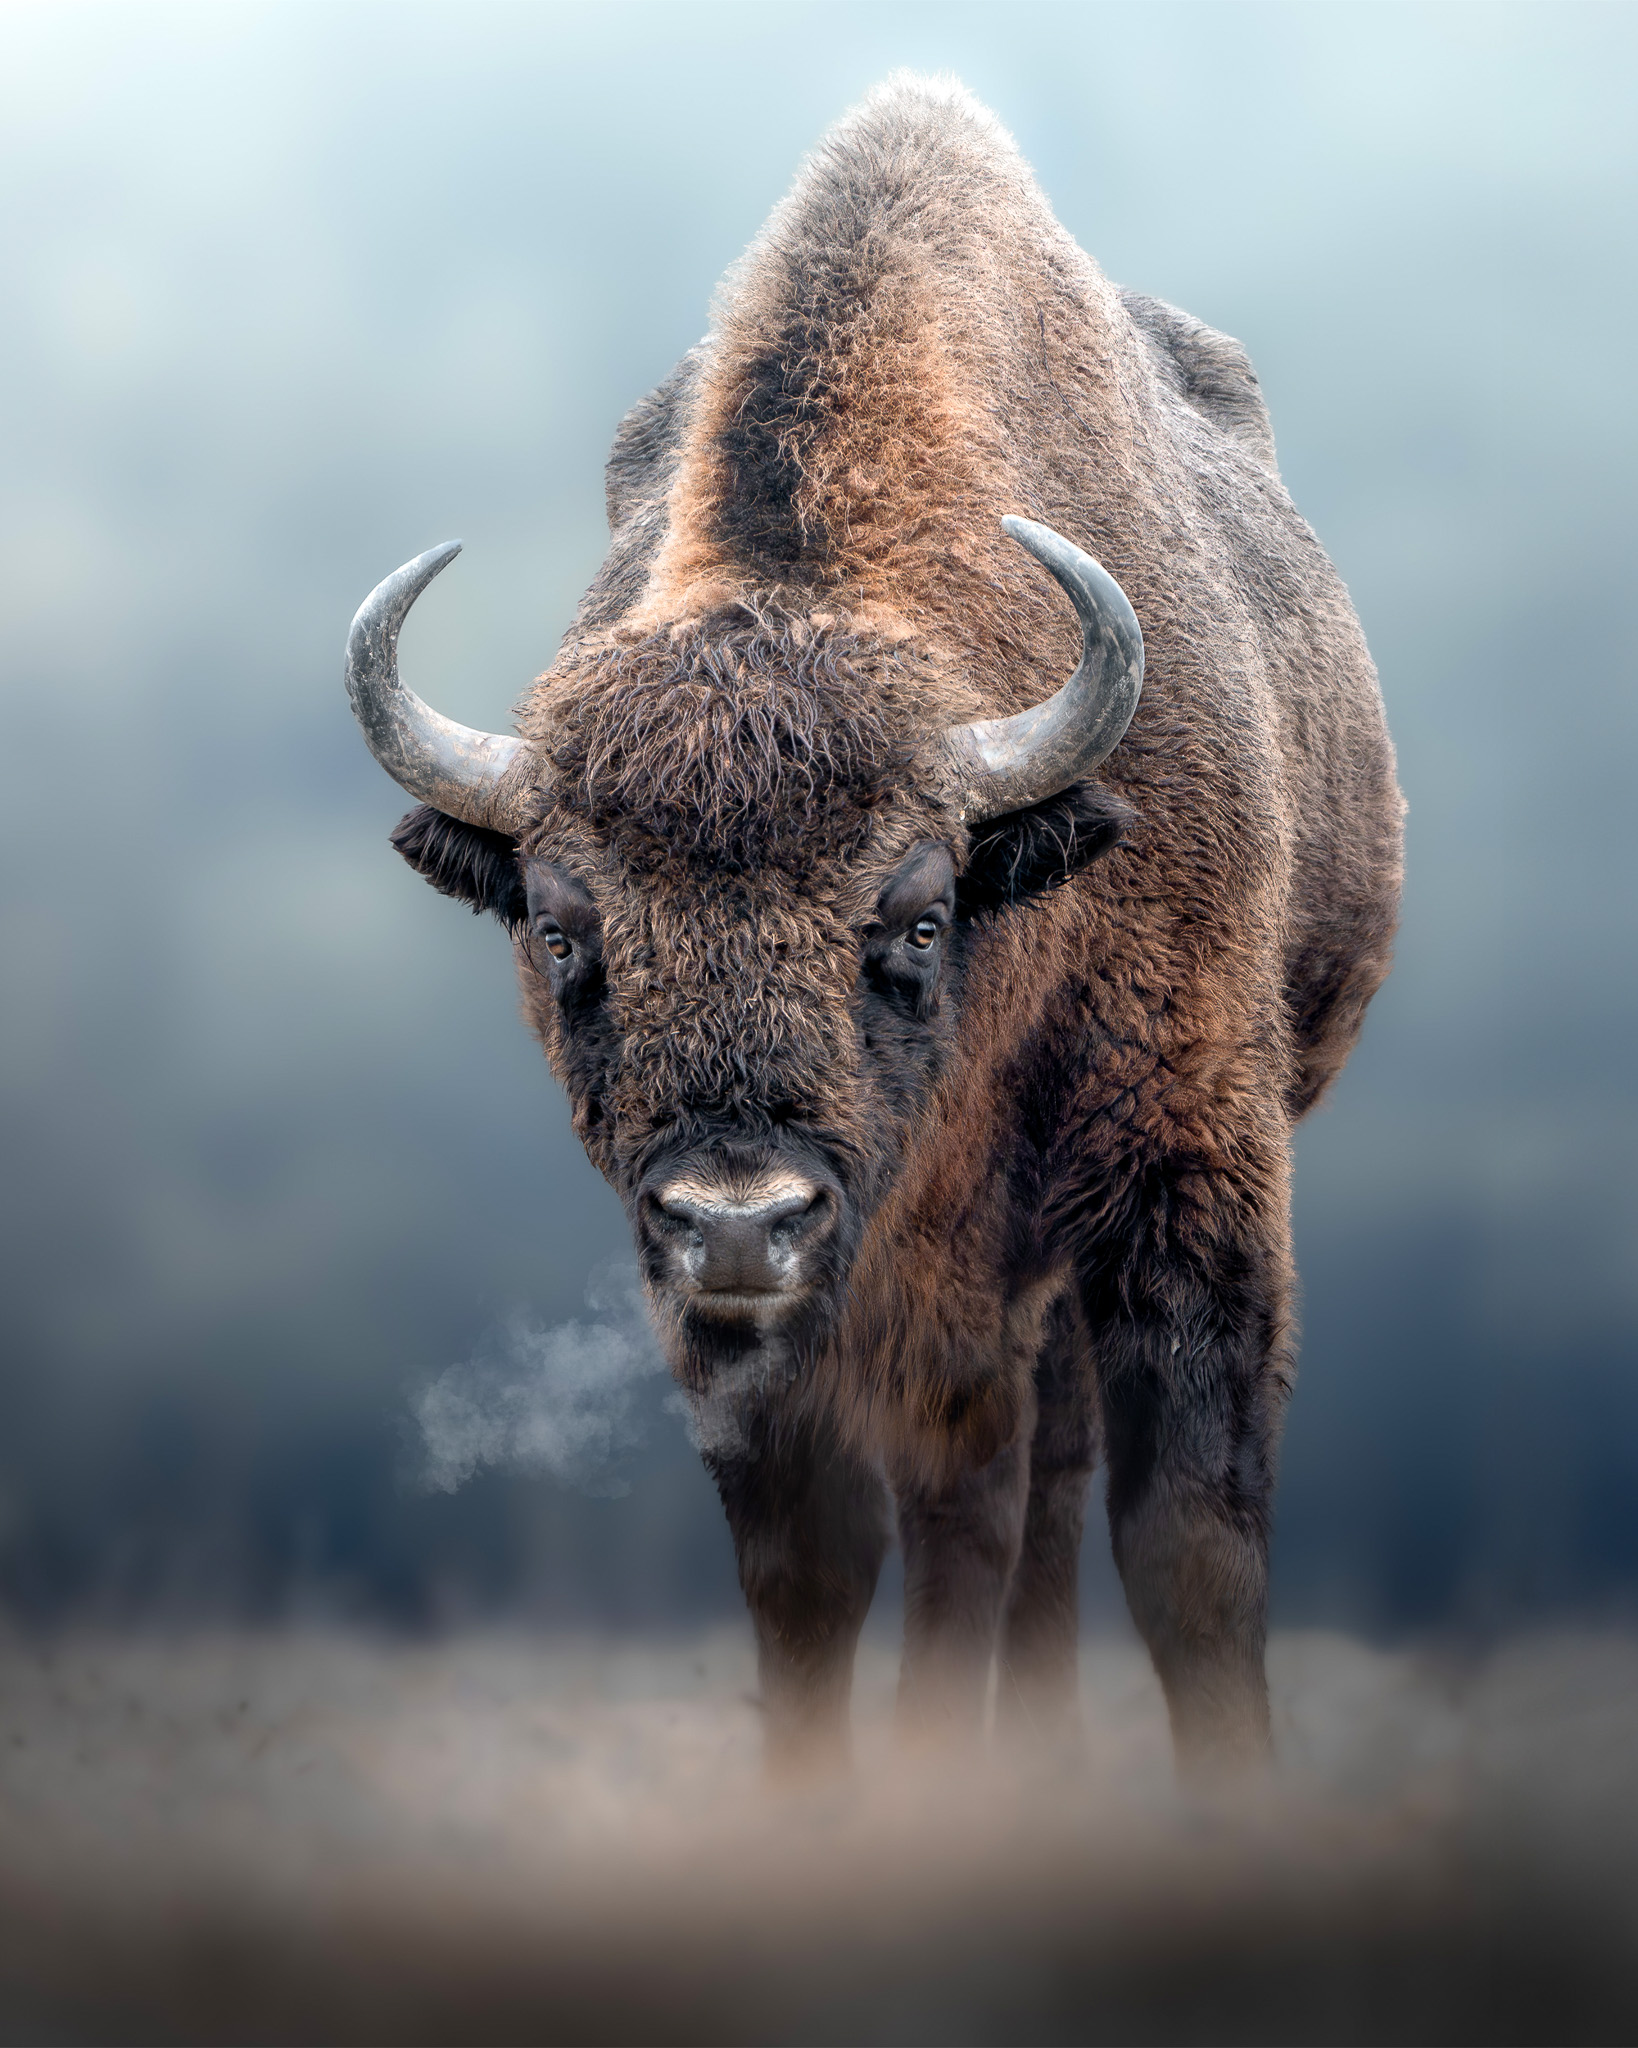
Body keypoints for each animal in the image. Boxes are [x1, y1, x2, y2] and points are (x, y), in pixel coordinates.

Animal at [345, 76, 1401, 1773]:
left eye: (912, 915)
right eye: (562, 928)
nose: (737, 1214)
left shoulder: (1181, 1167)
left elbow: (1184, 1543)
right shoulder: (776, 1310)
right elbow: (815, 1560)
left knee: (1034, 1482)